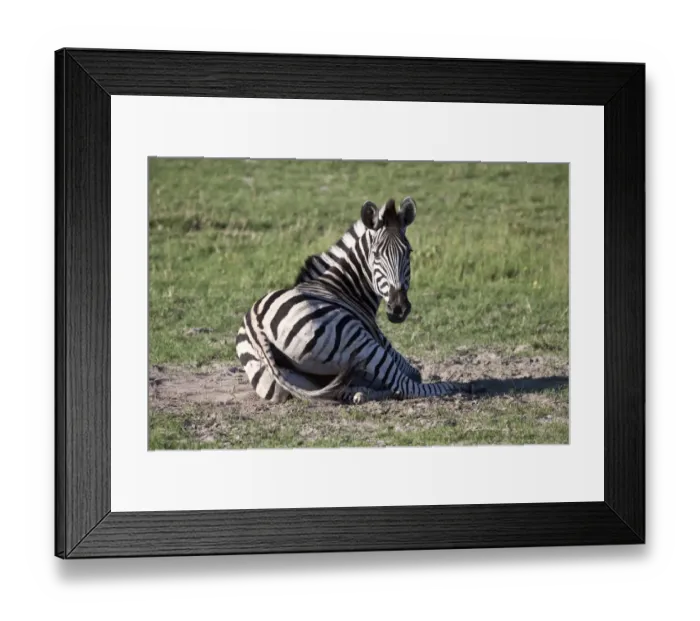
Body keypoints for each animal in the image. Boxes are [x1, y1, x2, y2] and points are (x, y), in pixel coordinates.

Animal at [235, 196, 472, 404]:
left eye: (409, 252)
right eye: (376, 254)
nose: (399, 308)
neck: (342, 286)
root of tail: (257, 325)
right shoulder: (381, 341)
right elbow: (414, 373)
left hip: (284, 383)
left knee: (334, 391)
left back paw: (360, 392)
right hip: (357, 337)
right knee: (405, 386)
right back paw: (454, 388)